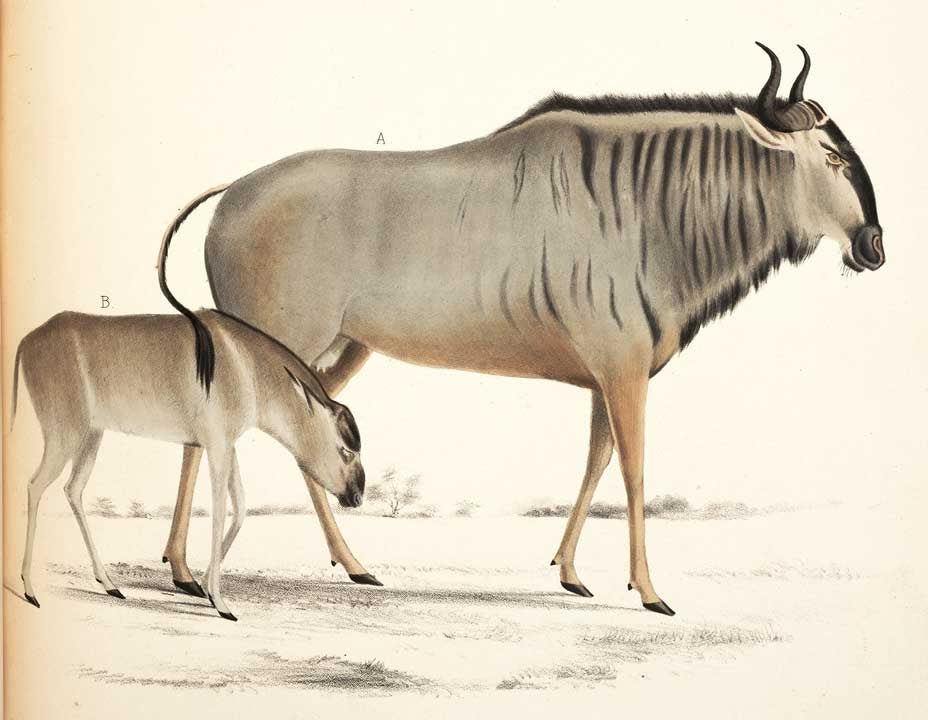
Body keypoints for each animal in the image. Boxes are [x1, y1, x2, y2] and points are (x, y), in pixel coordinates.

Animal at [12, 310, 365, 621]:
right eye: (346, 450)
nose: (357, 496)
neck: (246, 364)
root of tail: (27, 341)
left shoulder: (227, 445)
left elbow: (241, 508)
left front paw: (206, 588)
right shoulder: (217, 445)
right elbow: (220, 512)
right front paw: (220, 602)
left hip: (90, 435)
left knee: (73, 489)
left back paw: (109, 584)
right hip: (64, 433)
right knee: (34, 485)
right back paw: (29, 589)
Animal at [158, 44, 883, 615]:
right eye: (832, 156)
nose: (873, 245)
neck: (640, 205)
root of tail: (231, 194)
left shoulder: (606, 378)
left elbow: (597, 461)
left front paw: (571, 575)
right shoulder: (623, 373)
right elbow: (634, 470)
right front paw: (649, 592)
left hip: (335, 350)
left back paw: (330, 566)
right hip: (275, 341)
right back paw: (191, 572)